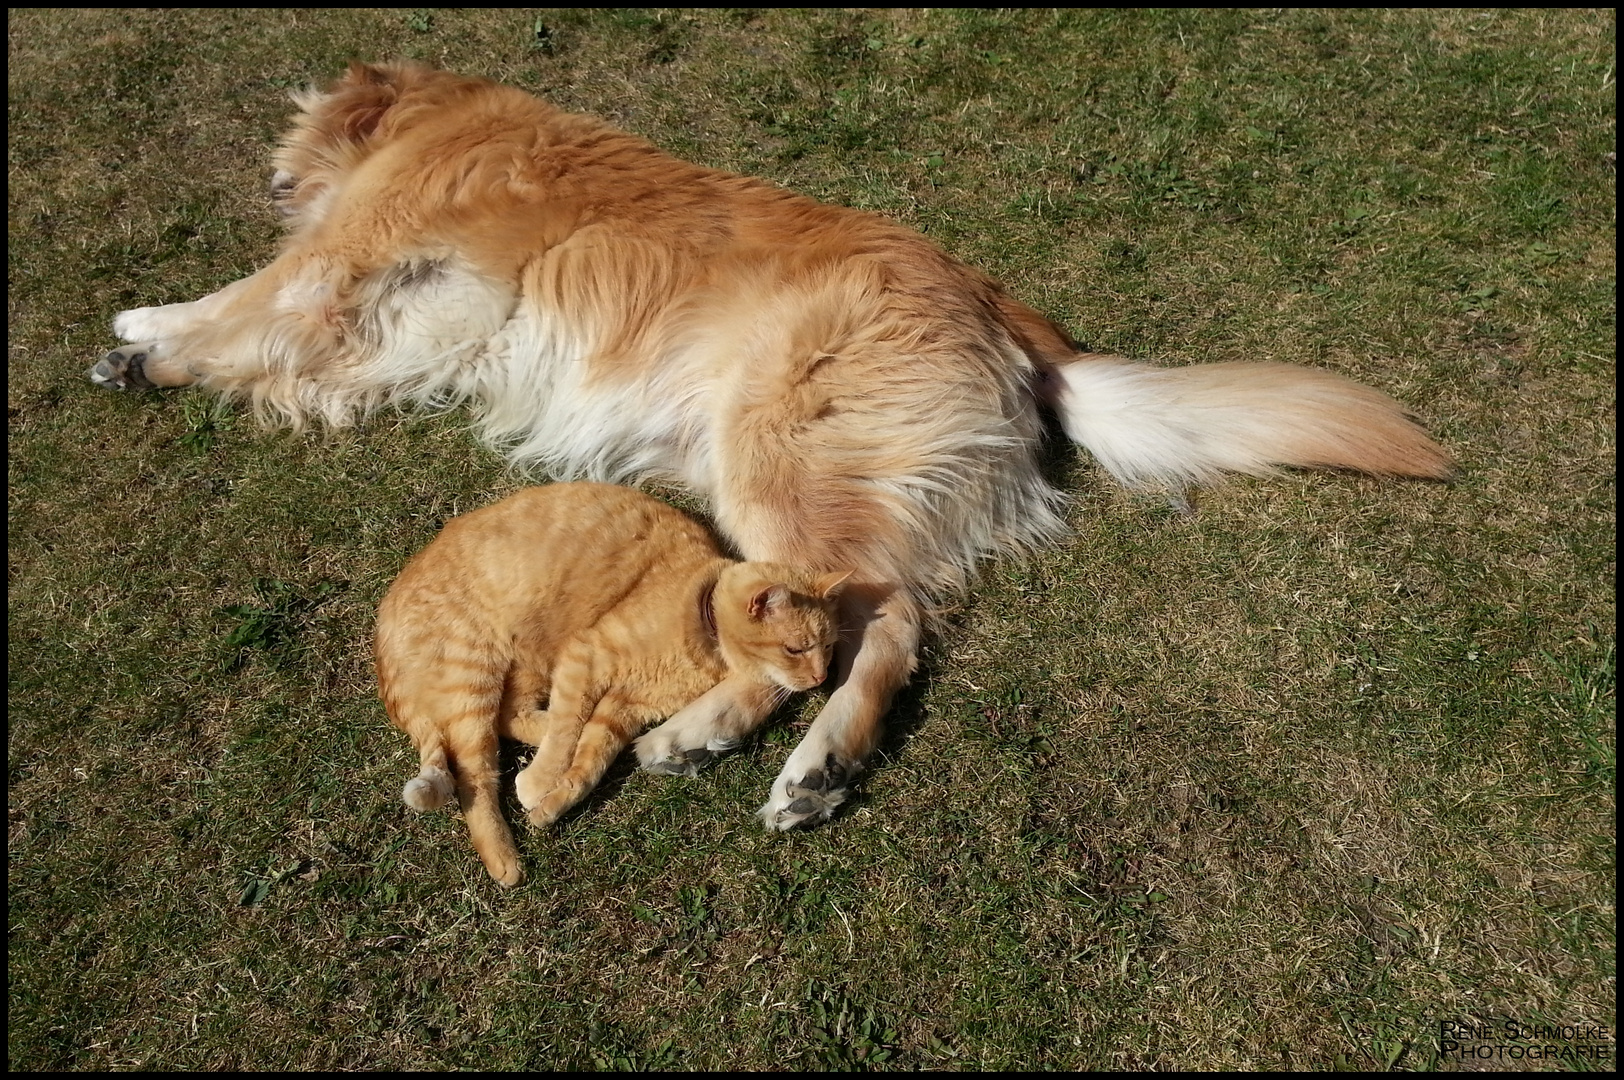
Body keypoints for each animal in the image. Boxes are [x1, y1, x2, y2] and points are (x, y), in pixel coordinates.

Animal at [371, 480, 844, 883]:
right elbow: (566, 736)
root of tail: (384, 621)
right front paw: (541, 779)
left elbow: (589, 763)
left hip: (523, 669)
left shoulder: (624, 710)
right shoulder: (587, 657)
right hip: (474, 676)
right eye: (796, 649)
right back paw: (506, 859)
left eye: (828, 647)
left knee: (512, 717)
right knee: (477, 775)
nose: (821, 676)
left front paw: (554, 801)